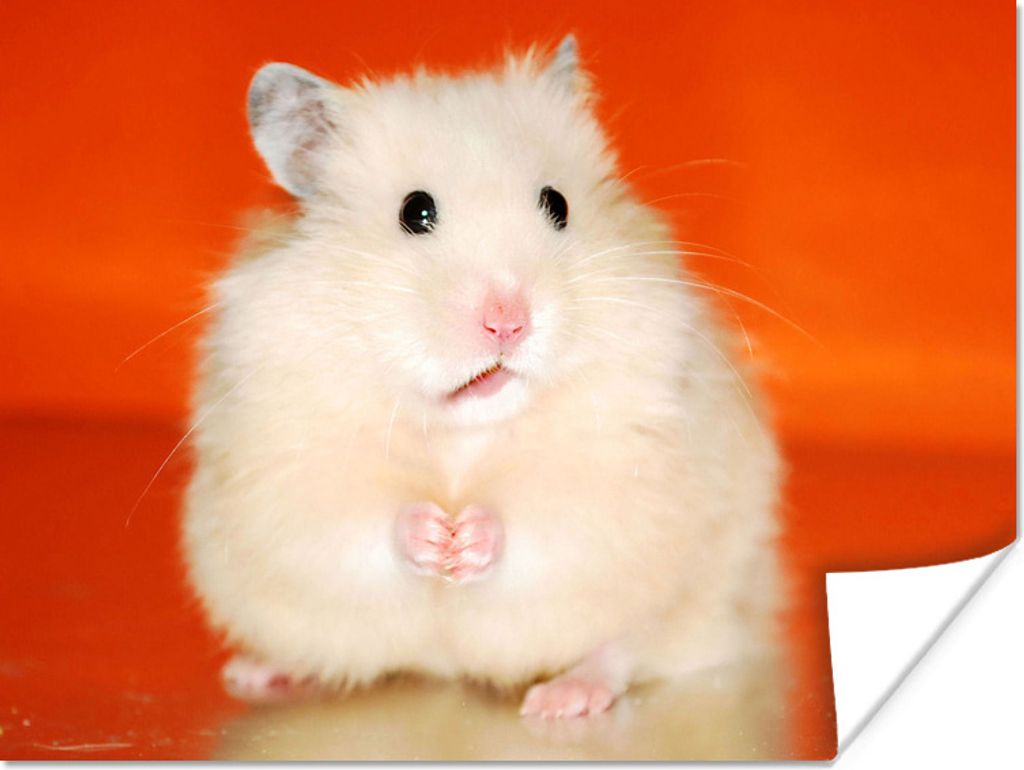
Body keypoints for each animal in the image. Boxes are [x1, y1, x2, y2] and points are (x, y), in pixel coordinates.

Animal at [182, 35, 782, 719]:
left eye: (557, 204)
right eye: (415, 212)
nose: (509, 323)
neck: (462, 429)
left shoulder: (625, 477)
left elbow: (543, 525)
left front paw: (465, 539)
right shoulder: (288, 477)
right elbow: (360, 525)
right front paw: (434, 537)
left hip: (698, 586)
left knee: (624, 649)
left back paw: (562, 700)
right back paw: (258, 671)